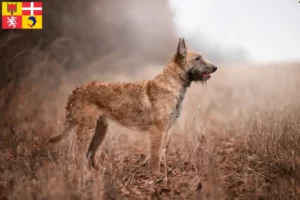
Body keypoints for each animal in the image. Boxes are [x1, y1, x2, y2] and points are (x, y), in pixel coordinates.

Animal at [49, 38, 218, 173]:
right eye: (198, 58)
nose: (215, 67)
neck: (173, 83)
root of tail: (76, 91)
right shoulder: (157, 130)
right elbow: (156, 154)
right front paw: (155, 175)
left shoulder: (166, 129)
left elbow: (161, 152)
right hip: (87, 129)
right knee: (79, 155)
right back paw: (85, 174)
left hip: (100, 129)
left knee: (89, 153)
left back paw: (100, 171)